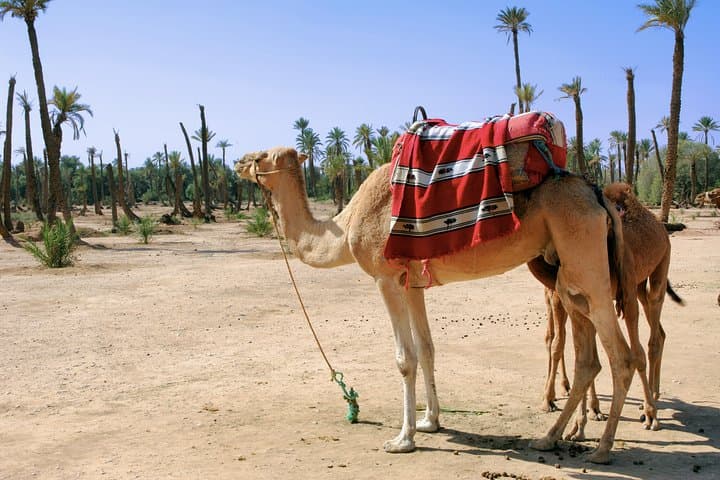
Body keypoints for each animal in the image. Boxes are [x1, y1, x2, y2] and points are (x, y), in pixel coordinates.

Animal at [236, 146, 636, 464]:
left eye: (260, 156)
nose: (239, 162)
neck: (346, 226)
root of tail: (597, 195)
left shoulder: (385, 278)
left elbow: (405, 358)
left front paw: (403, 438)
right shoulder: (412, 284)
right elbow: (427, 348)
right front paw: (431, 421)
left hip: (586, 261)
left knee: (622, 356)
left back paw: (602, 449)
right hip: (568, 275)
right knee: (589, 359)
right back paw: (550, 437)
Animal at [529, 182, 683, 437]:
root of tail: (660, 226)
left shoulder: (609, 294)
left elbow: (629, 353)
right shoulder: (573, 298)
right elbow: (571, 348)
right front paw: (579, 422)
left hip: (659, 268)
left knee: (652, 336)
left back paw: (650, 408)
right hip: (637, 285)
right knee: (658, 332)